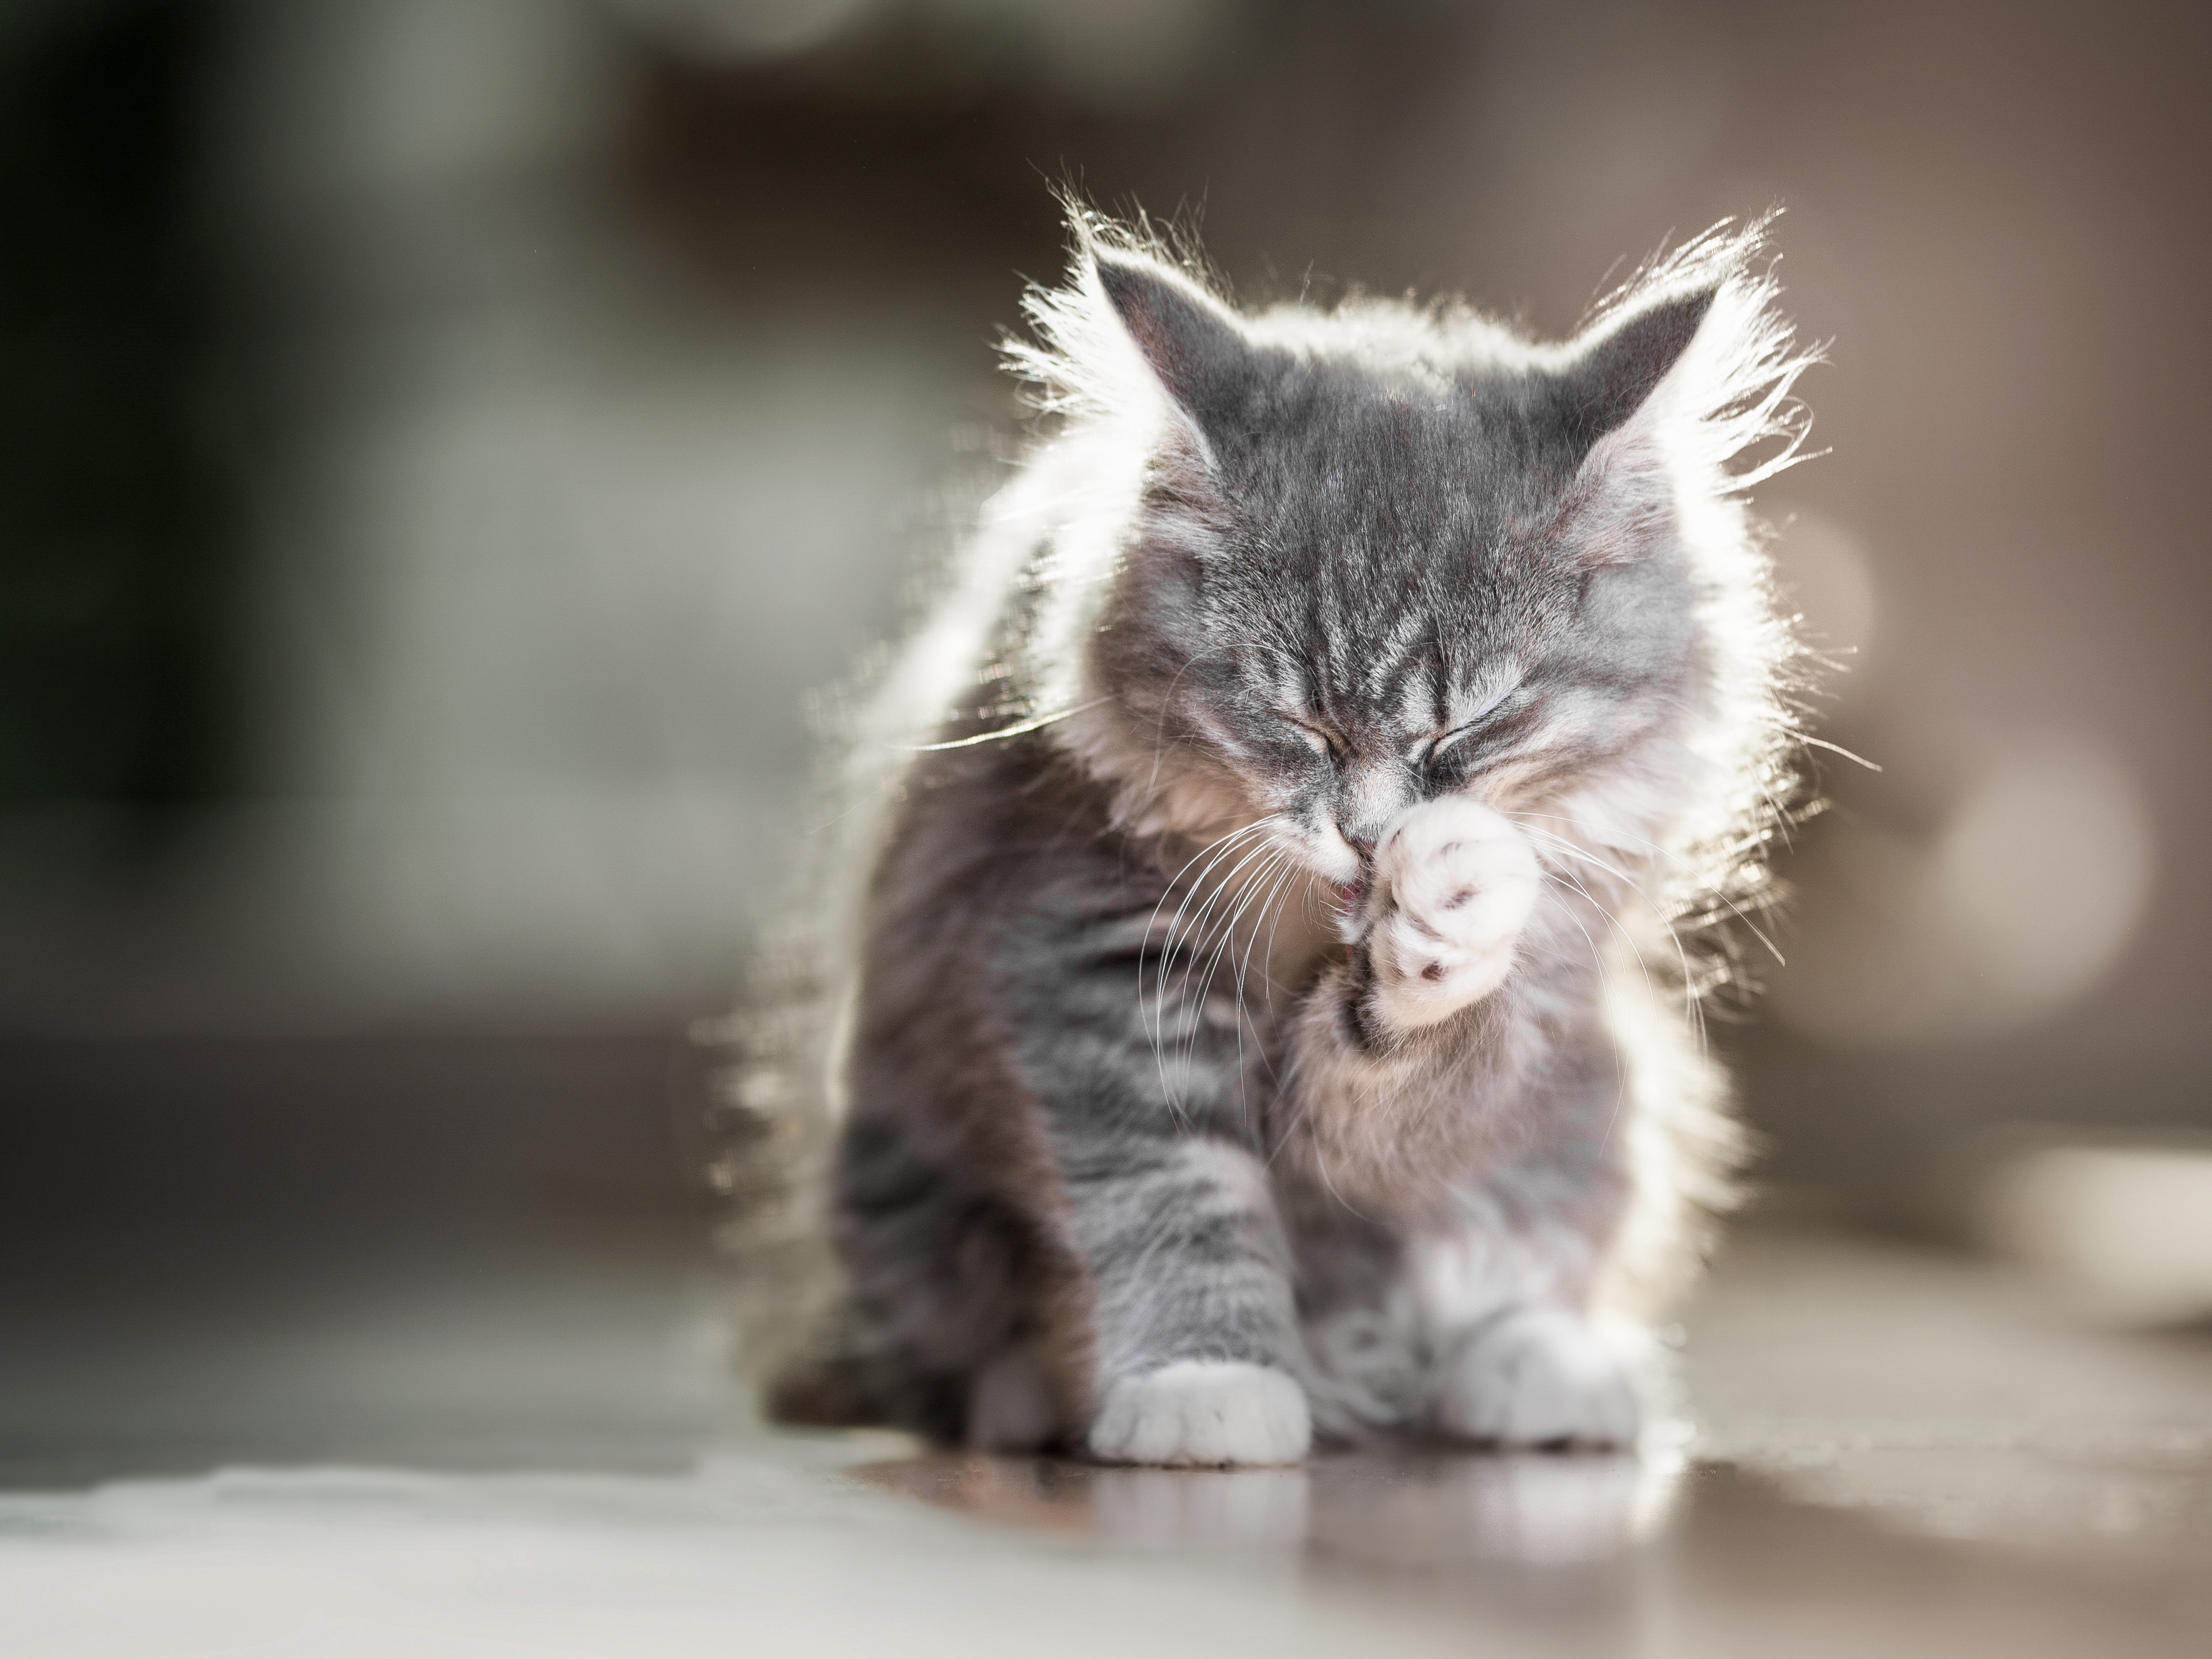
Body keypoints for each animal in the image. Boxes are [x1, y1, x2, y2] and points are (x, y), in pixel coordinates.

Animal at [756, 211, 1813, 1468]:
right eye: (1296, 722)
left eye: (1470, 727)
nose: (1368, 836)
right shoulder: (1083, 946)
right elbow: (1175, 1199)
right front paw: (1205, 1384)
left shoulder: (1542, 985)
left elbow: (1410, 1084)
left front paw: (1444, 919)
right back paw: (1025, 1398)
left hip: (1613, 1092)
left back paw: (1537, 1367)